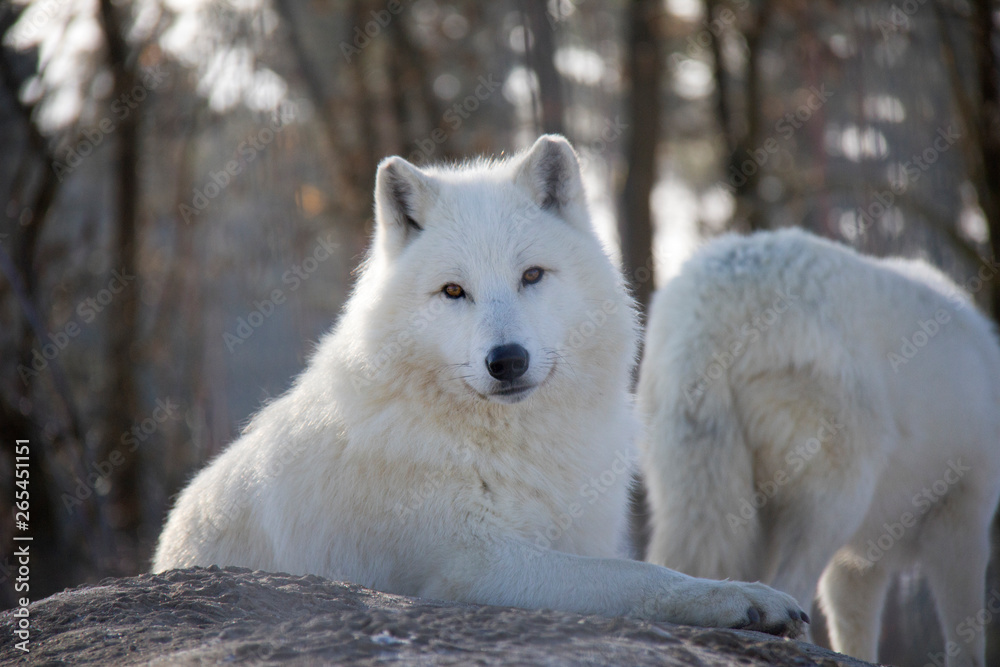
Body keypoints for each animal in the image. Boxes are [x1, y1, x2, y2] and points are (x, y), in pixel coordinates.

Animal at [153, 136, 806, 635]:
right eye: (453, 291)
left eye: (532, 276)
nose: (507, 361)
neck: (518, 445)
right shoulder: (474, 565)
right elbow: (641, 575)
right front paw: (740, 597)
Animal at [638, 228, 1000, 666]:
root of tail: (725, 304)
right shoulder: (962, 516)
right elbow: (966, 637)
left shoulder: (858, 564)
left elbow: (856, 632)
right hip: (833, 501)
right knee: (791, 584)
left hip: (703, 493)